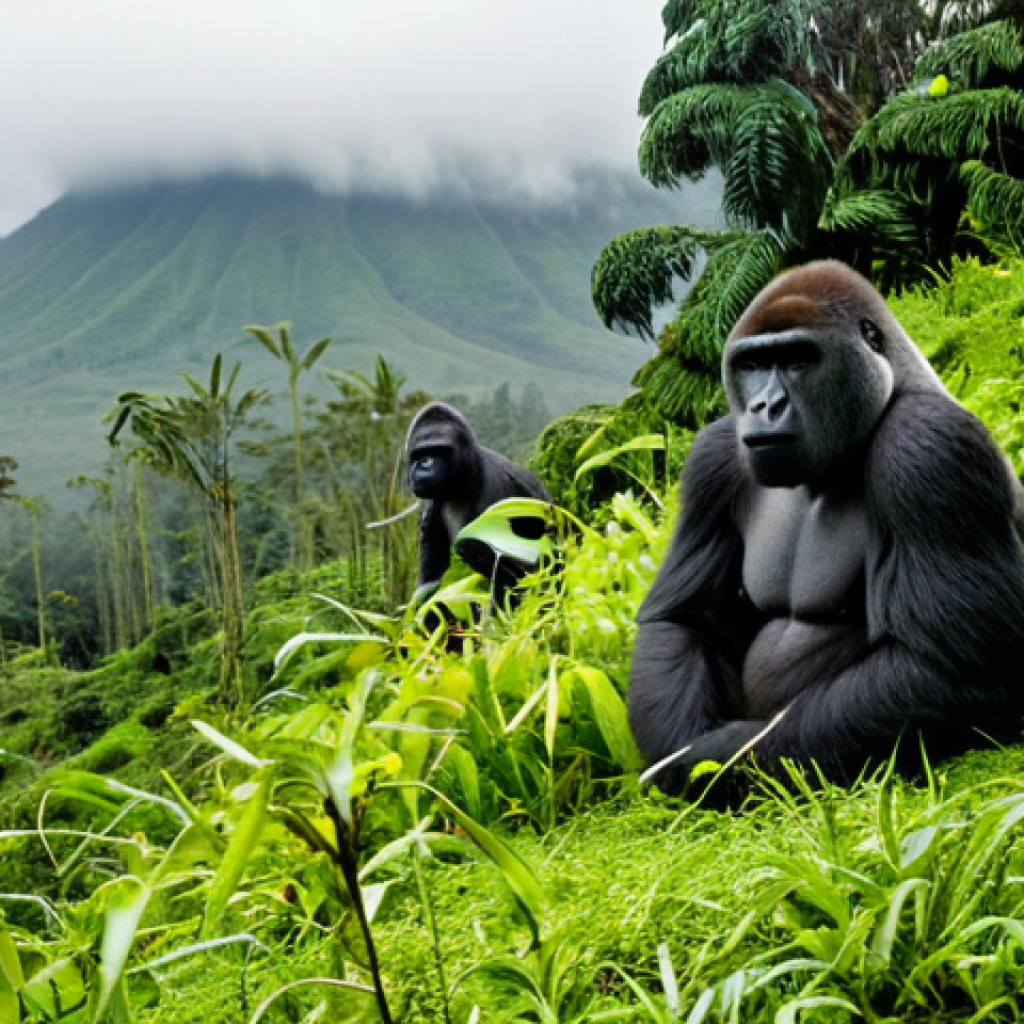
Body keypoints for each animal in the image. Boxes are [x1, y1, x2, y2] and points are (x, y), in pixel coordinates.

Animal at [405, 402, 550, 598]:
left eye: (438, 451)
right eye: (420, 454)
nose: (425, 464)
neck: (464, 471)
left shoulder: (489, 484)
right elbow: (432, 575)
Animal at [628, 260, 1024, 798]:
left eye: (798, 359)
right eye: (754, 365)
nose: (765, 406)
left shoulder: (928, 446)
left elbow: (949, 667)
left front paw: (712, 762)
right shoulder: (714, 457)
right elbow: (684, 617)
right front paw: (679, 751)